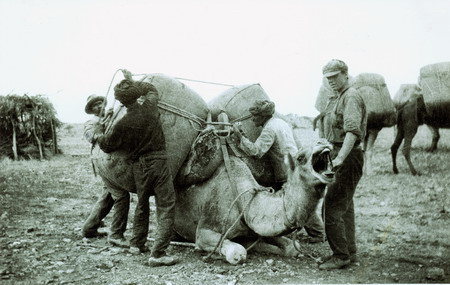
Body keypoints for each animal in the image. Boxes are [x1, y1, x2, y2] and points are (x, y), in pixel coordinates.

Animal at [172, 138, 334, 264]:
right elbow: (239, 251)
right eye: (300, 157)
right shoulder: (205, 229)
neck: (245, 203)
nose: (322, 142)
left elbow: (292, 247)